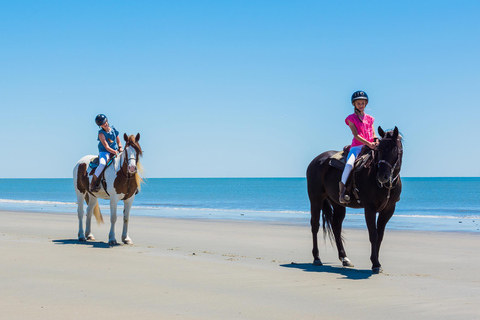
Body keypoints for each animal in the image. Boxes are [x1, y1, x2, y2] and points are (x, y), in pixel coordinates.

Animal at [308, 126, 402, 274]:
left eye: (393, 149)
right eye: (379, 149)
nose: (382, 176)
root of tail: (315, 161)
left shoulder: (388, 210)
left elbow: (380, 235)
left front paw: (376, 262)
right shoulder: (370, 208)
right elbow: (373, 234)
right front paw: (375, 264)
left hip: (338, 204)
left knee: (336, 227)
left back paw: (344, 258)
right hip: (316, 199)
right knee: (315, 226)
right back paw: (317, 258)